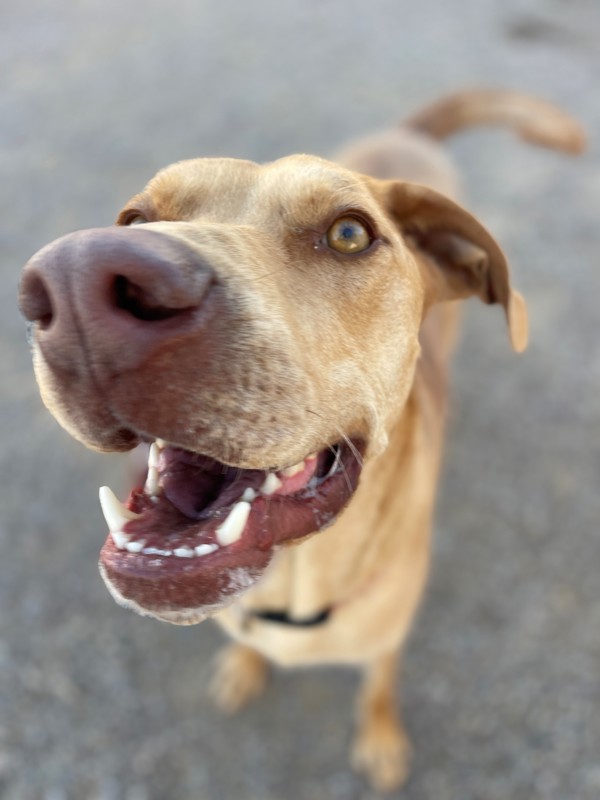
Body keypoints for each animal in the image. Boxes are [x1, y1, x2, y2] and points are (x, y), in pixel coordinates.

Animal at [21, 90, 584, 792]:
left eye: (349, 233)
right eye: (134, 219)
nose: (76, 282)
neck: (294, 588)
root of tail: (408, 134)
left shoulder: (387, 641)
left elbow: (378, 689)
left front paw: (380, 735)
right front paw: (244, 666)